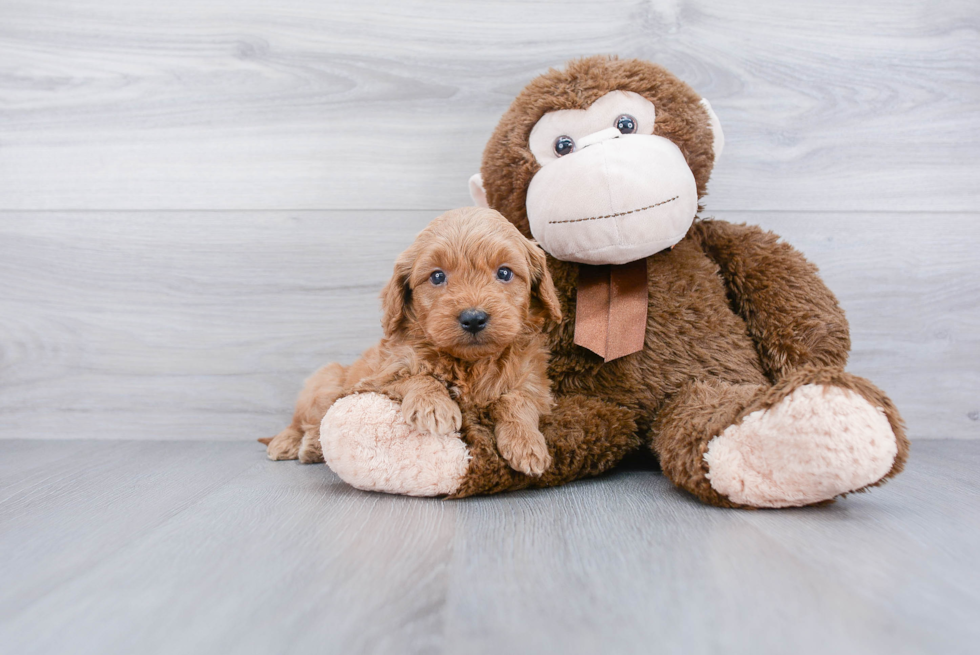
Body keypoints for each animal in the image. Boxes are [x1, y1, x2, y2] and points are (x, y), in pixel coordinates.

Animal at [260, 209, 564, 476]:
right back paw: (292, 443)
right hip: (325, 379)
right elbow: (417, 375)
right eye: (438, 276)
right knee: (305, 421)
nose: (474, 318)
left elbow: (517, 401)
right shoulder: (377, 380)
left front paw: (527, 443)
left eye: (504, 273)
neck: (470, 365)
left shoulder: (535, 384)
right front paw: (433, 405)